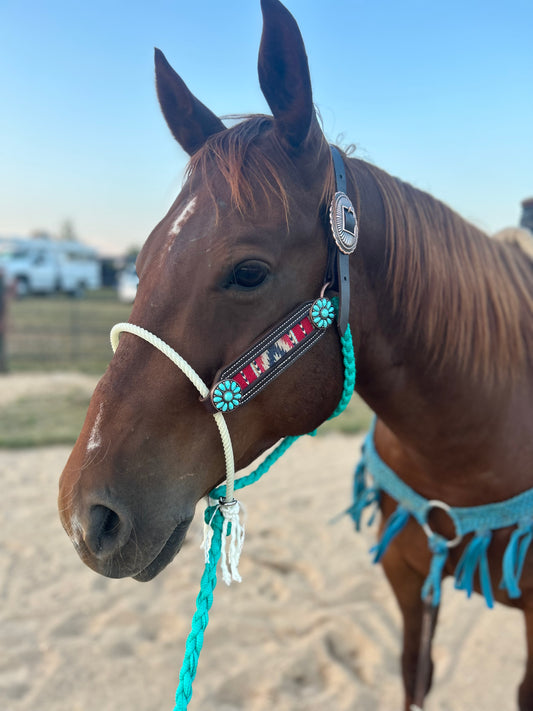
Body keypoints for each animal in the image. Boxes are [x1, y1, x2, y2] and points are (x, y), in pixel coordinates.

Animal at [58, 0, 532, 708]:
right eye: (140, 264)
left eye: (249, 272)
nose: (86, 516)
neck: (472, 434)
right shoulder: (408, 577)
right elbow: (414, 676)